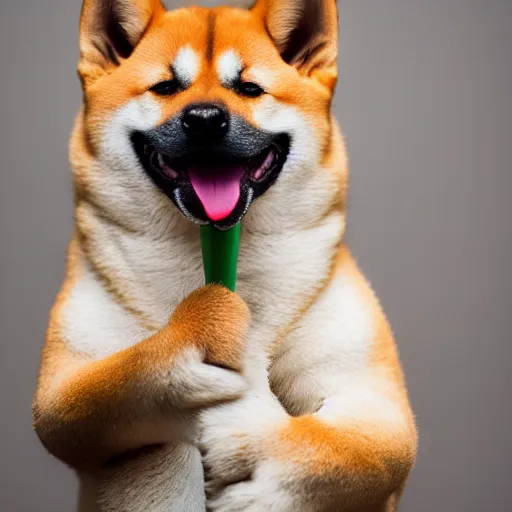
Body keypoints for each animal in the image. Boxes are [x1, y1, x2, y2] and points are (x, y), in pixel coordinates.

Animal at [32, 0, 418, 510]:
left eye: (249, 89)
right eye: (166, 87)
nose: (205, 119)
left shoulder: (377, 408)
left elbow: (350, 453)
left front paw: (249, 434)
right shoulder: (60, 393)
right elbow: (124, 375)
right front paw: (208, 323)